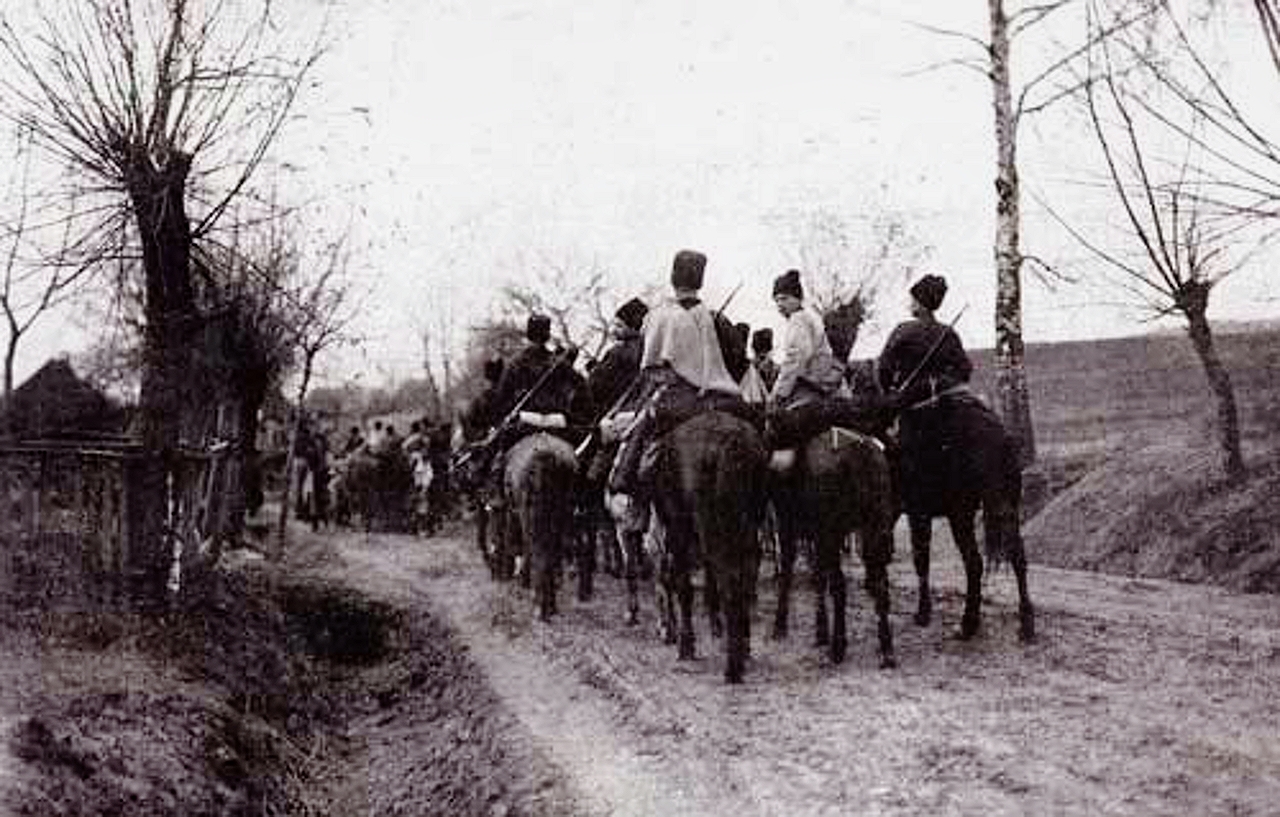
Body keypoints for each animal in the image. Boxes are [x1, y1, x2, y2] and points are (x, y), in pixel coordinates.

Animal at [645, 409, 762, 686]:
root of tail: (732, 443)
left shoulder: (678, 528)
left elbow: (683, 586)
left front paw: (685, 644)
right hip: (748, 519)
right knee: (747, 570)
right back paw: (743, 646)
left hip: (709, 523)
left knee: (728, 578)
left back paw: (732, 668)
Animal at [768, 425, 901, 671]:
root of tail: (862, 452)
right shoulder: (817, 536)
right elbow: (818, 577)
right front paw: (820, 631)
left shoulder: (791, 525)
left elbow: (790, 571)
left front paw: (781, 625)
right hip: (874, 527)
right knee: (880, 583)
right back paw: (886, 649)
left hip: (833, 532)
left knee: (840, 586)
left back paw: (838, 647)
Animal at [896, 394, 1034, 642]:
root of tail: (999, 434)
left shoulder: (917, 512)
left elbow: (920, 559)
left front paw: (923, 613)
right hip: (1003, 508)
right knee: (1017, 555)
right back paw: (1026, 623)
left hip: (960, 514)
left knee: (974, 562)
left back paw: (968, 623)